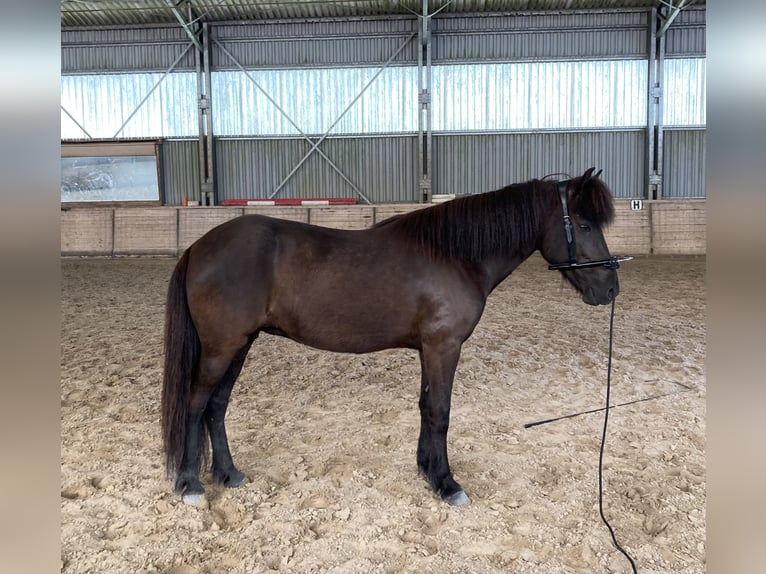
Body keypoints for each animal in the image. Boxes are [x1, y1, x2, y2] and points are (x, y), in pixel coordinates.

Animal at [165, 168, 620, 508]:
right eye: (583, 224)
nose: (610, 288)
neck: (455, 255)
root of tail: (199, 247)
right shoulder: (443, 347)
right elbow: (439, 411)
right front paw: (447, 484)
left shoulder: (429, 350)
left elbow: (424, 407)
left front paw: (426, 469)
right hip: (221, 348)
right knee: (196, 404)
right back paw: (191, 485)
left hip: (240, 345)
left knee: (216, 407)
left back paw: (228, 473)